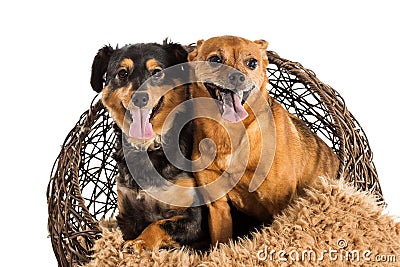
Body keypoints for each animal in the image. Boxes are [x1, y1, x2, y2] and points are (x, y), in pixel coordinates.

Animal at [90, 40, 209, 254]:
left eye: (157, 72)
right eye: (122, 73)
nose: (140, 98)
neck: (149, 149)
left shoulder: (196, 219)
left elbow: (159, 224)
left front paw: (139, 243)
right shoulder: (126, 216)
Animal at [189, 36, 340, 247]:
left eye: (252, 63)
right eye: (215, 59)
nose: (237, 77)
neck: (229, 133)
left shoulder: (280, 205)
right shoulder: (218, 206)